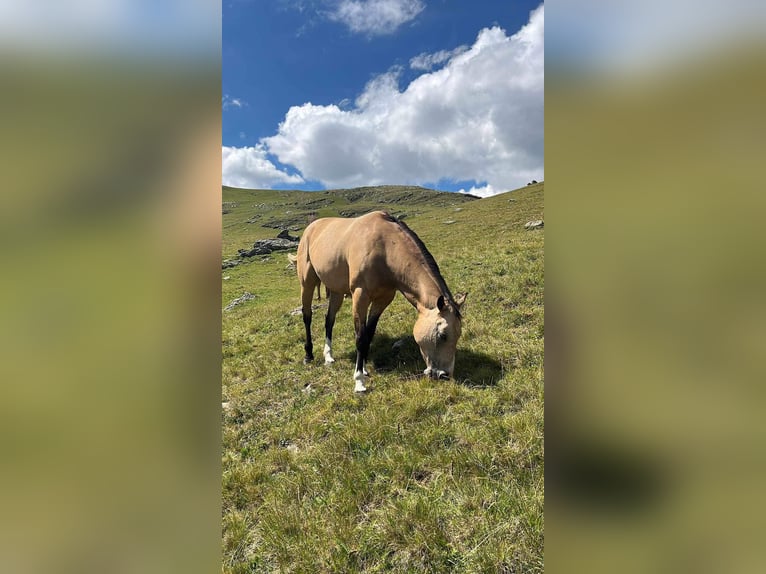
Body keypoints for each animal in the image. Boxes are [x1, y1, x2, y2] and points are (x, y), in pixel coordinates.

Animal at [298, 213, 468, 396]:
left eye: (458, 335)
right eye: (442, 335)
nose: (444, 375)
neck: (385, 248)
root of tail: (311, 227)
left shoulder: (383, 299)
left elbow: (369, 333)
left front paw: (364, 368)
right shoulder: (360, 296)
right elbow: (360, 337)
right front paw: (359, 381)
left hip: (336, 291)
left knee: (329, 320)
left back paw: (328, 356)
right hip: (307, 283)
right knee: (307, 316)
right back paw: (308, 355)